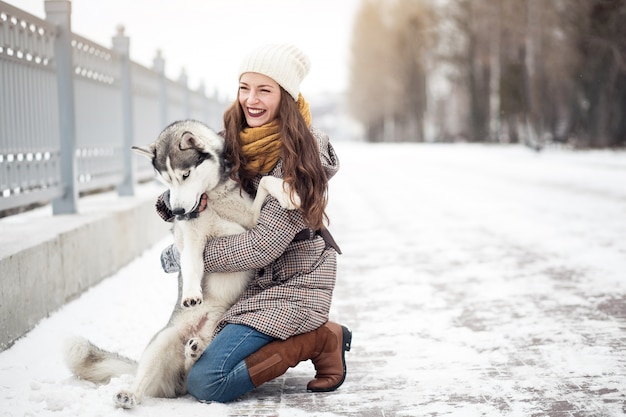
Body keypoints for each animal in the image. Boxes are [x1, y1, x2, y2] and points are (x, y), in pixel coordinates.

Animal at [64, 118, 298, 408]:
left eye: (185, 175)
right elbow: (191, 264)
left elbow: (266, 181)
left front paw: (288, 194)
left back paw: (194, 351)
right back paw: (130, 393)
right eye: (164, 180)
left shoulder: (252, 225)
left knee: (192, 371)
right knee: (146, 380)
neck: (213, 198)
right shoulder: (192, 239)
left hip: (211, 340)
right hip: (163, 342)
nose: (176, 211)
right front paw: (190, 294)